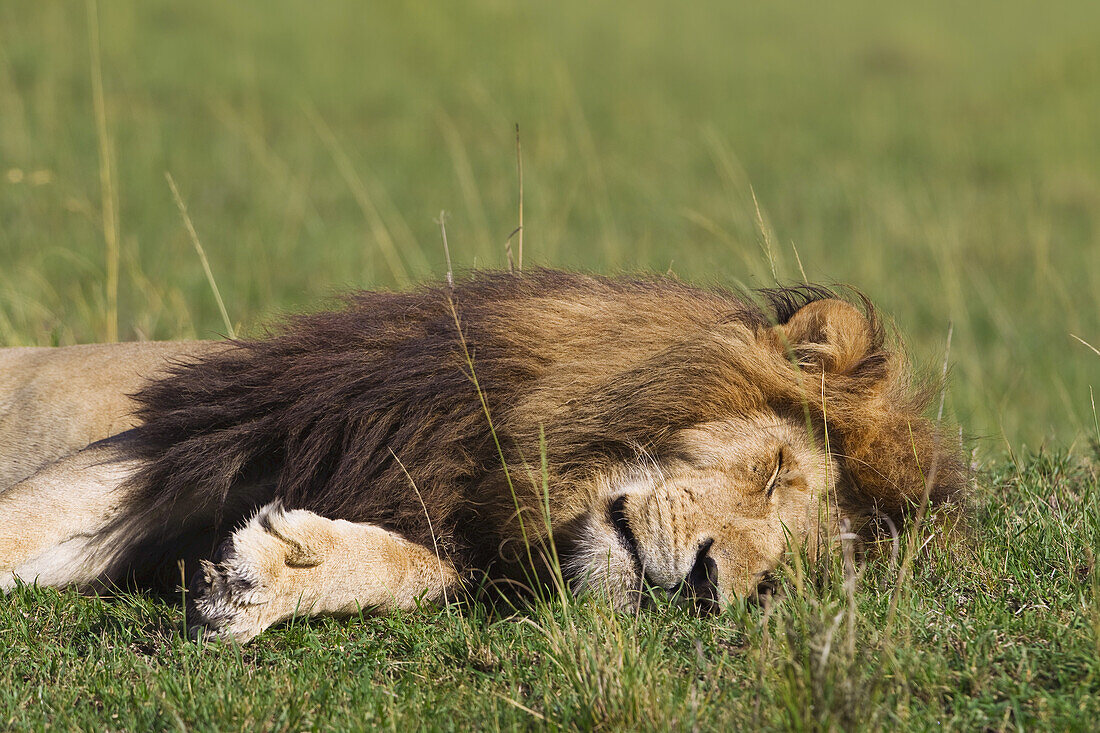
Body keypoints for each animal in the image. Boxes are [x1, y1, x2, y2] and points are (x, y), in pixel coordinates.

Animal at [0, 268, 963, 638]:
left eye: (775, 583)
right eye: (772, 469)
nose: (705, 584)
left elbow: (414, 568)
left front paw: (269, 576)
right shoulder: (194, 440)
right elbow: (29, 521)